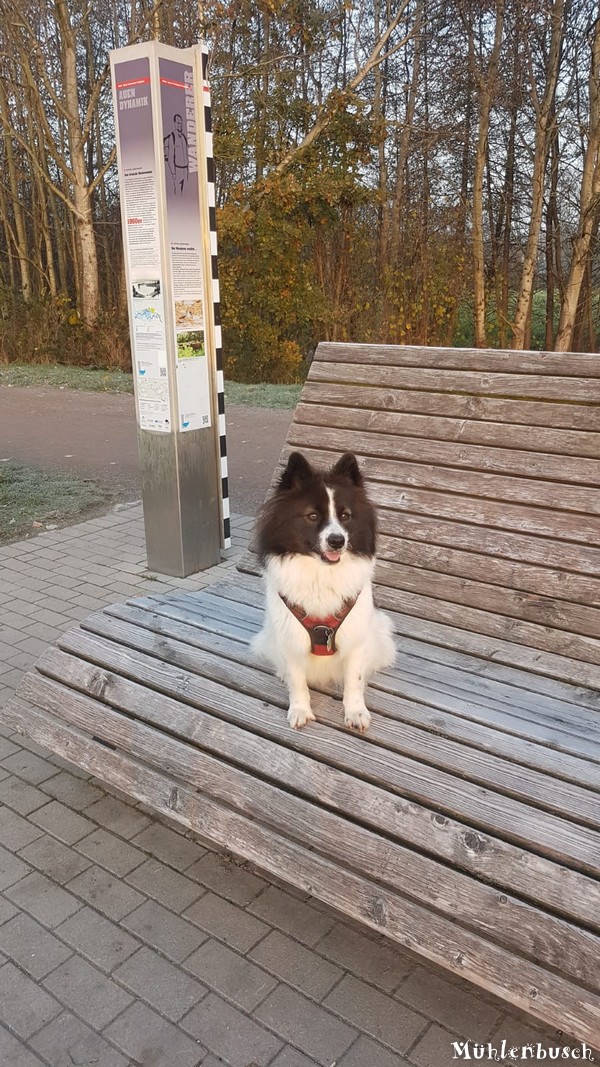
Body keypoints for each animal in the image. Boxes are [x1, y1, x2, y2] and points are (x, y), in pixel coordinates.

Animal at [249, 446, 395, 729]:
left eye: (345, 516)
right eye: (313, 516)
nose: (337, 541)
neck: (321, 574)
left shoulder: (355, 637)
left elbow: (354, 679)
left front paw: (355, 711)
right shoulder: (290, 637)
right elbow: (297, 680)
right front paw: (300, 709)